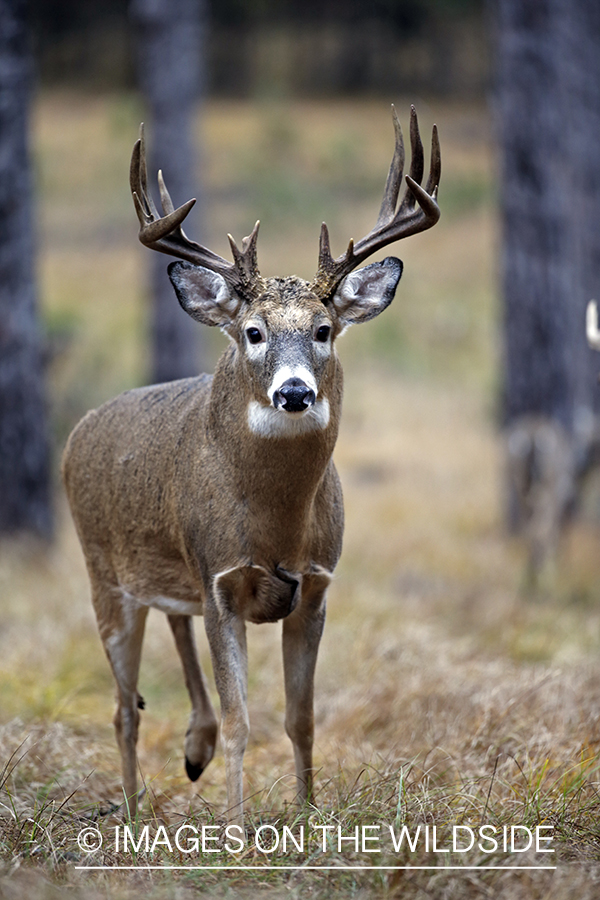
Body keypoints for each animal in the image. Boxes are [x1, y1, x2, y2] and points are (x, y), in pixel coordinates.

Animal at [62, 105, 440, 824]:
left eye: (323, 330)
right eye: (253, 332)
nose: (294, 392)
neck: (274, 523)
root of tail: (79, 430)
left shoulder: (315, 586)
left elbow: (301, 718)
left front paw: (308, 814)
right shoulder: (220, 581)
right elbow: (244, 719)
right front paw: (237, 826)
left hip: (168, 572)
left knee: (172, 634)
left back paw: (194, 747)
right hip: (104, 575)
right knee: (125, 707)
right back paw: (134, 808)